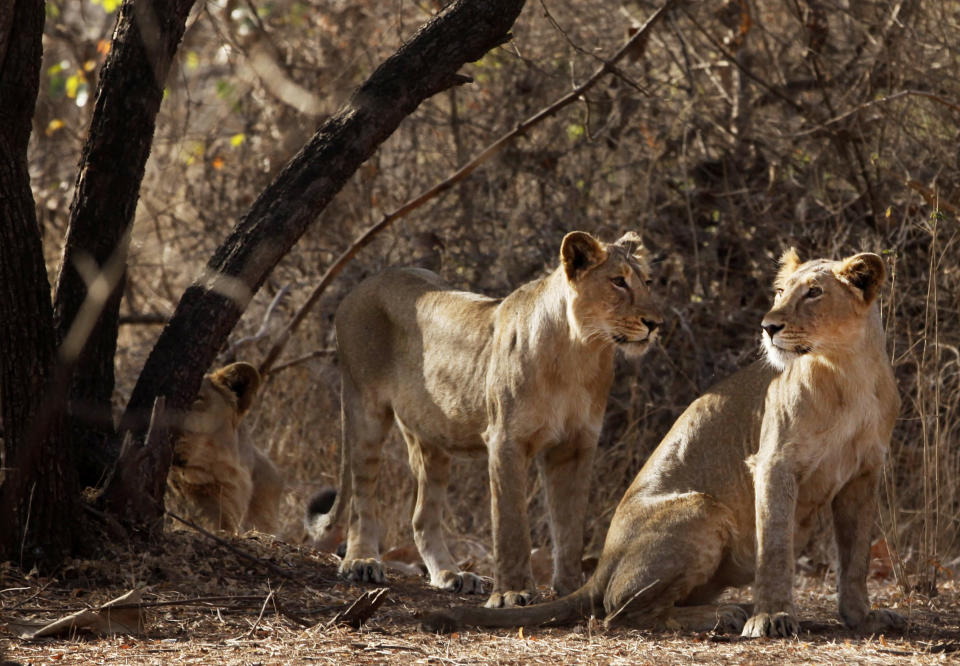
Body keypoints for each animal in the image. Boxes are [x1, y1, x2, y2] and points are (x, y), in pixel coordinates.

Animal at [312, 230, 664, 608]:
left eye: (647, 282)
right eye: (617, 282)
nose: (655, 323)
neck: (580, 352)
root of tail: (362, 285)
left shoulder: (575, 446)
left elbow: (570, 528)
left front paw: (571, 590)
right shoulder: (506, 439)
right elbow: (511, 524)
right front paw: (512, 592)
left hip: (431, 435)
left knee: (422, 517)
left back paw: (452, 575)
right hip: (365, 408)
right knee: (362, 496)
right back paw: (361, 561)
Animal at [424, 246, 904, 636]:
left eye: (815, 293)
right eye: (782, 291)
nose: (768, 326)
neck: (846, 372)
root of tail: (600, 565)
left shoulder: (865, 472)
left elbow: (856, 557)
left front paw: (863, 617)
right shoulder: (773, 462)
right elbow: (776, 545)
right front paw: (770, 617)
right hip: (702, 508)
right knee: (617, 613)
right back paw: (725, 614)